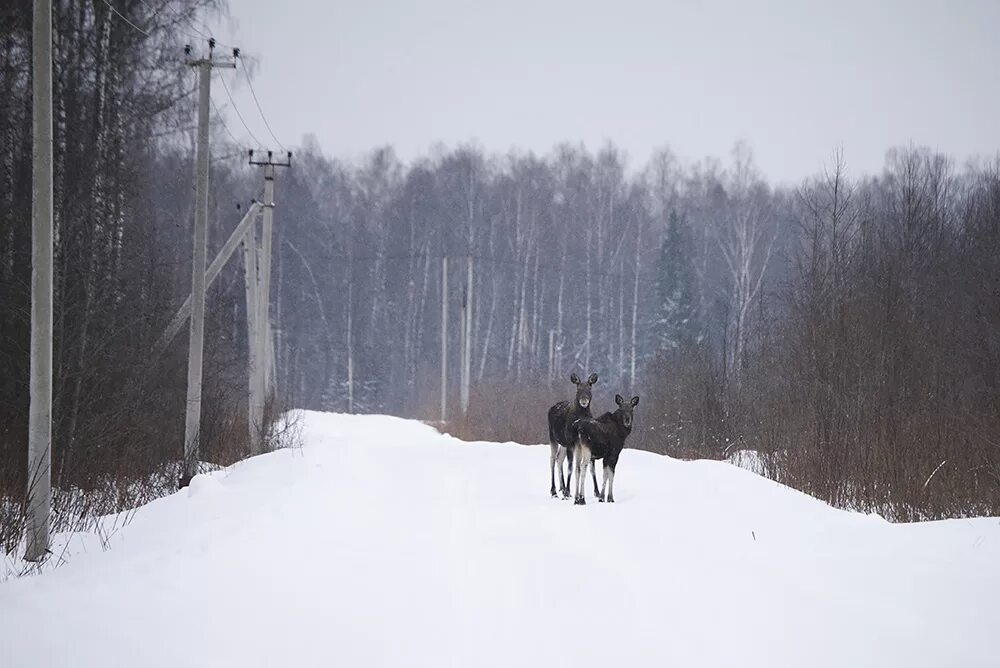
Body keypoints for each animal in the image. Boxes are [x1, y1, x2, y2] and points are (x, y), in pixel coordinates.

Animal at [548, 374, 640, 504]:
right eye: (622, 409)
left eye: (631, 409)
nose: (627, 421)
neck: (622, 432)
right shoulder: (614, 453)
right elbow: (611, 474)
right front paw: (610, 498)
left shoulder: (605, 456)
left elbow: (605, 474)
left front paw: (601, 497)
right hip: (565, 442)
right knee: (575, 465)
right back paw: (576, 497)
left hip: (574, 447)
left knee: (571, 465)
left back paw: (574, 496)